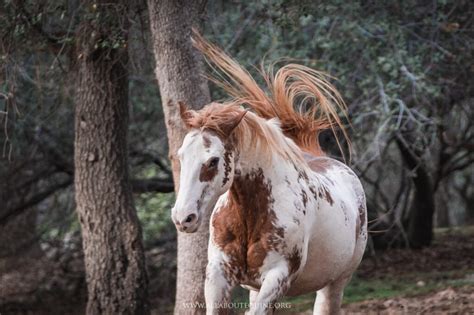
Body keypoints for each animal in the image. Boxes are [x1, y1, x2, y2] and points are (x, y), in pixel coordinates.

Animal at [170, 35, 366, 315]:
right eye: (181, 155)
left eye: (213, 160)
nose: (182, 218)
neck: (249, 216)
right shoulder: (219, 275)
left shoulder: (277, 277)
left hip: (335, 283)